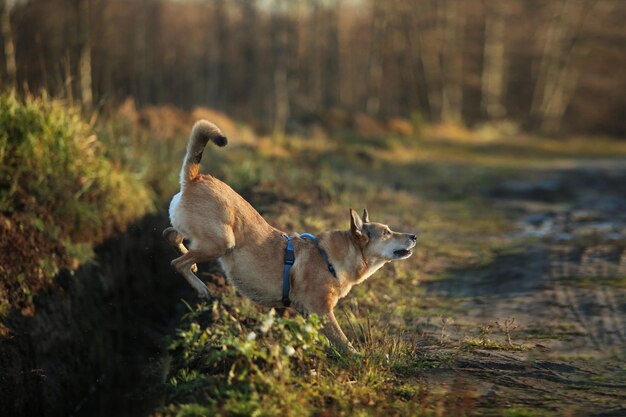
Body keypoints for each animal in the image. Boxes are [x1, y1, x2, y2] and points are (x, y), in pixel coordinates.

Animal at [162, 120, 414, 352]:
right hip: (221, 243)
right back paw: (200, 286)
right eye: (387, 232)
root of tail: (196, 179)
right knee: (176, 263)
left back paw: (192, 263)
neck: (331, 260)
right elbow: (342, 341)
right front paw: (356, 357)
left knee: (171, 235)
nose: (414, 236)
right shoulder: (321, 309)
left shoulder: (310, 313)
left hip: (201, 236)